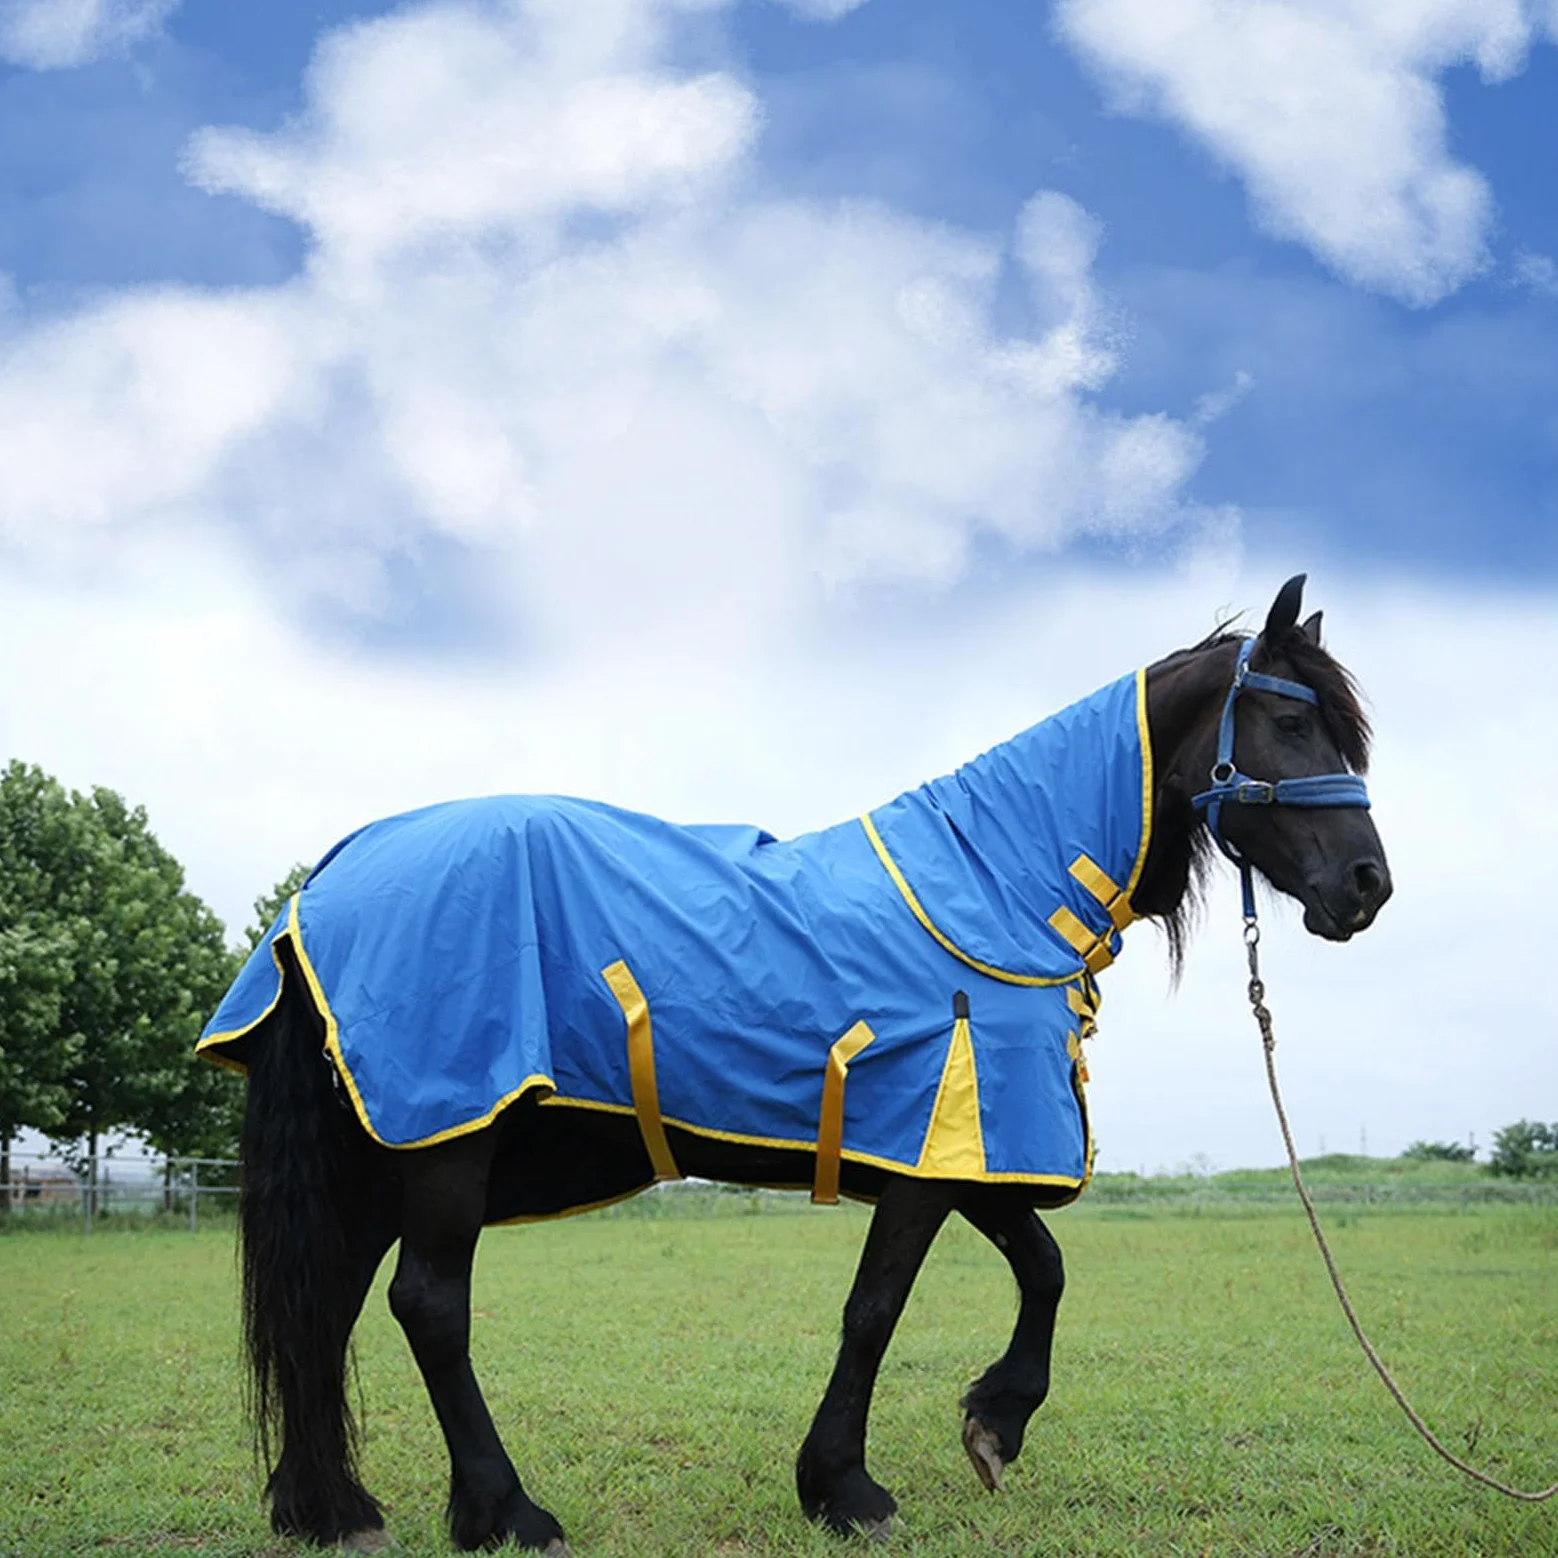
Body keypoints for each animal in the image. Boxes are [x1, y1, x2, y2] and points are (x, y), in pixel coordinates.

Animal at [200, 574, 1389, 1552]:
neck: (996, 888)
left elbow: (1043, 1265)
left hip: (379, 1149)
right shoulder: (935, 1140)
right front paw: (845, 1489)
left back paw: (331, 1511)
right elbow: (878, 1307)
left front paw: (992, 1423)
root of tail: (331, 877)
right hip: (446, 1133)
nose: (1368, 887)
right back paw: (505, 1513)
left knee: (330, 1303)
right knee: (428, 1306)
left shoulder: (961, 1142)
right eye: (1292, 719)